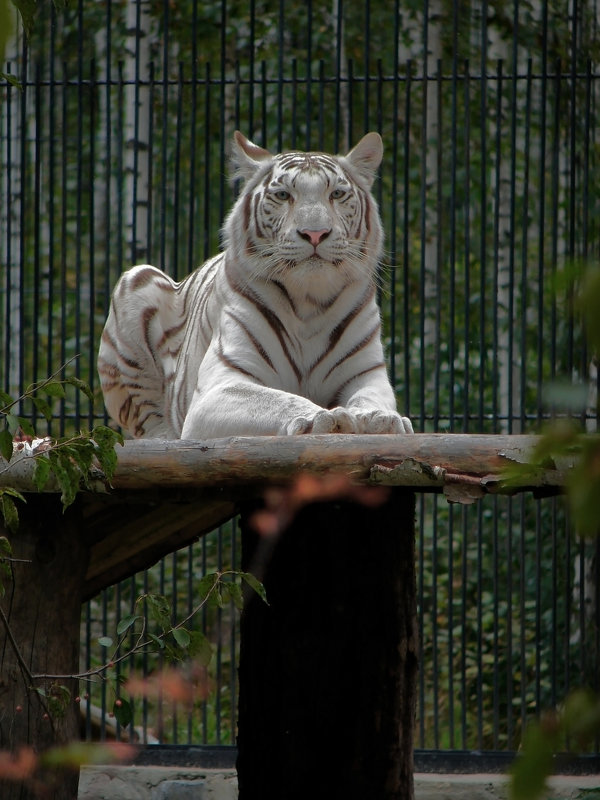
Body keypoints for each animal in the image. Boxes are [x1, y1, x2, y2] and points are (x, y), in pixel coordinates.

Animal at [98, 134, 414, 440]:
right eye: (283, 195)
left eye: (336, 194)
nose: (315, 233)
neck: (309, 301)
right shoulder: (220, 387)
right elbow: (280, 400)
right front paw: (322, 418)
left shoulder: (366, 375)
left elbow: (369, 399)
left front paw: (380, 419)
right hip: (138, 280)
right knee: (148, 423)